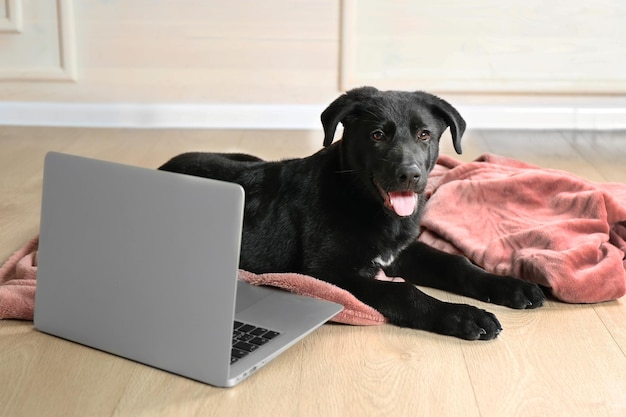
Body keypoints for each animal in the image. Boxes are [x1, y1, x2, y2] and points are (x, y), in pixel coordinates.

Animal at [158, 87, 544, 338]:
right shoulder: (327, 272)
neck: (362, 200)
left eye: (424, 135)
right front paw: (463, 316)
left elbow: (456, 263)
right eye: (377, 135)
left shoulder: (401, 252)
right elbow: (403, 292)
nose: (409, 175)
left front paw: (513, 286)